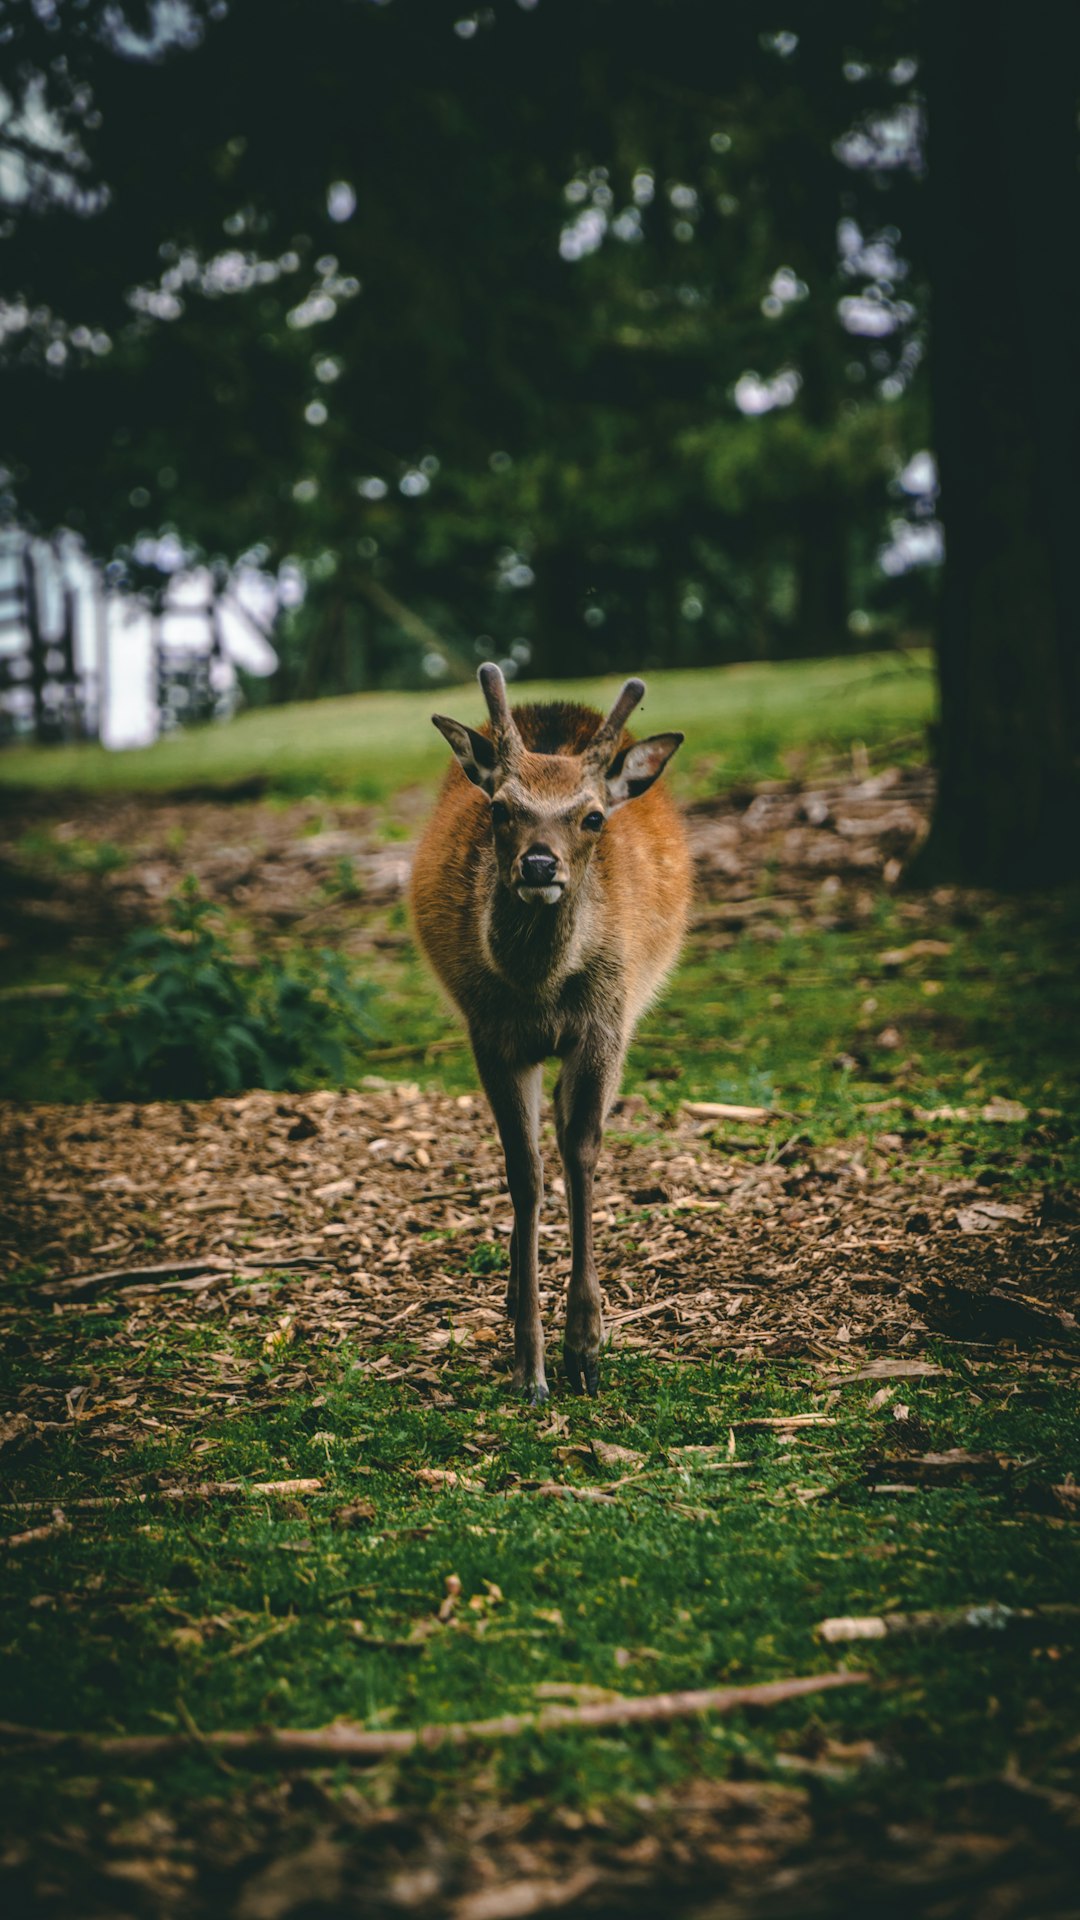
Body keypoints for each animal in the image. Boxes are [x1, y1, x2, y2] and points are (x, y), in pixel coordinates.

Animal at [407, 668, 684, 1405]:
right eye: (501, 809)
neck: (541, 990)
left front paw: (585, 1347)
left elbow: (581, 1151)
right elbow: (524, 1171)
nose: (538, 866)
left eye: (591, 817)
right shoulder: (492, 1034)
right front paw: (529, 1366)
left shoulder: (605, 1024)